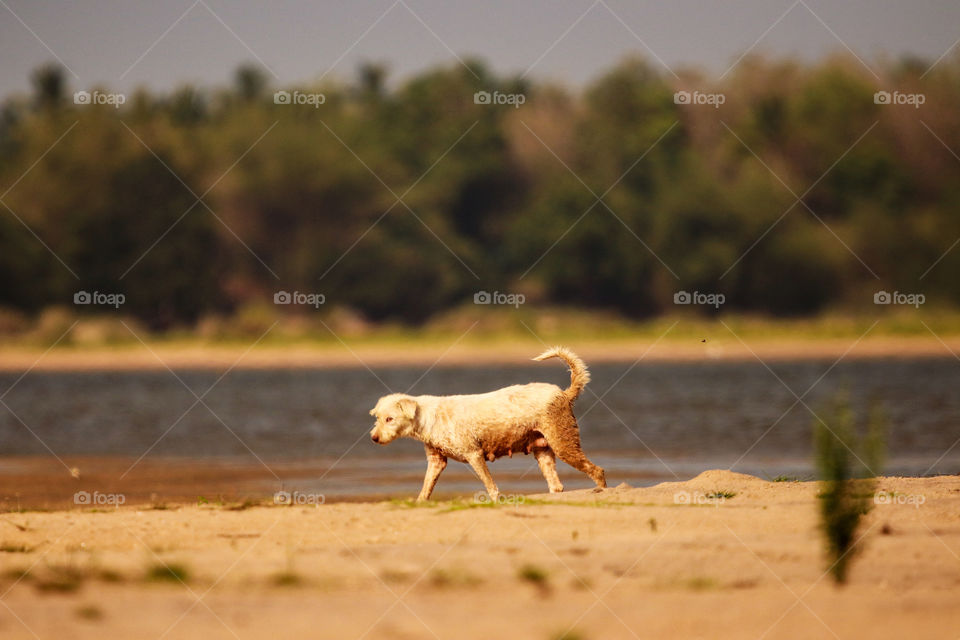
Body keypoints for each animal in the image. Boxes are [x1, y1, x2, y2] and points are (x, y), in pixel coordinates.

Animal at [370, 348, 608, 502]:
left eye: (389, 419)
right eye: (377, 418)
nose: (374, 438)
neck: (428, 416)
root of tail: (564, 394)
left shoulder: (474, 454)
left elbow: (489, 484)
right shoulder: (436, 461)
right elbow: (426, 487)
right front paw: (419, 502)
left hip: (563, 442)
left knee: (597, 470)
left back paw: (601, 490)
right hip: (543, 450)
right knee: (557, 485)